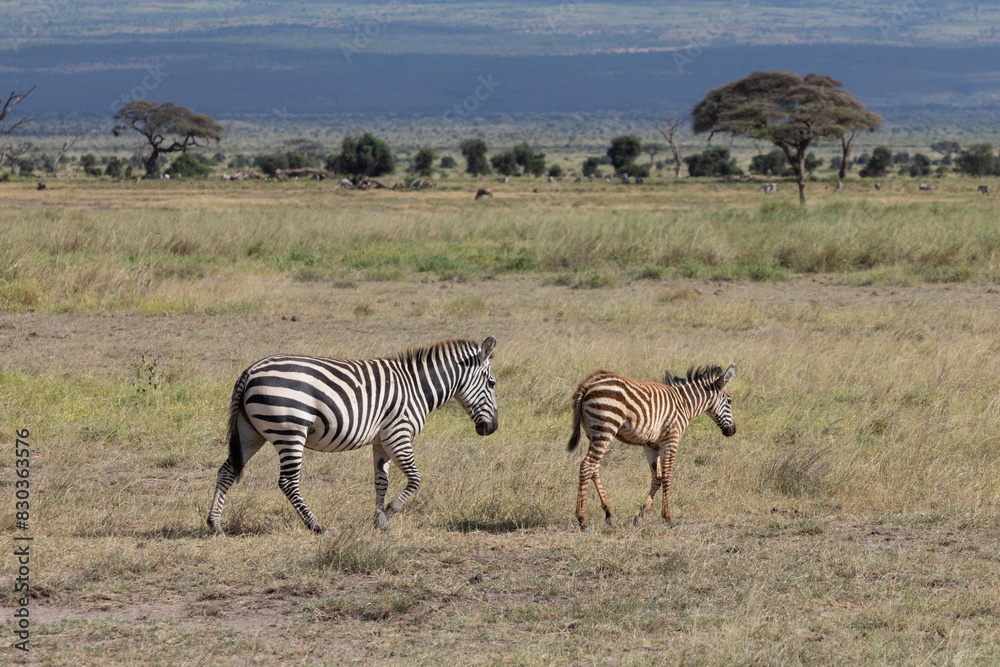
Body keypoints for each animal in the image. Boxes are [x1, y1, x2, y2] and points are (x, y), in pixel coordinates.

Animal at [207, 337, 499, 536]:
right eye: (492, 383)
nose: (493, 428)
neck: (417, 387)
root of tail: (249, 372)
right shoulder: (398, 434)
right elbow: (415, 480)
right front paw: (387, 515)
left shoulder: (381, 441)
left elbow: (381, 482)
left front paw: (377, 520)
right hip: (291, 431)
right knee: (288, 482)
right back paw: (317, 526)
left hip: (250, 433)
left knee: (227, 471)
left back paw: (215, 525)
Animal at [567, 364, 736, 532]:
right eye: (729, 401)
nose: (733, 431)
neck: (684, 404)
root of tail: (588, 384)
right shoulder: (671, 440)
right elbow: (667, 477)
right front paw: (668, 518)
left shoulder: (651, 445)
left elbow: (657, 478)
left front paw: (640, 517)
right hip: (606, 427)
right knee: (586, 466)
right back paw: (583, 521)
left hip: (593, 433)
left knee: (594, 468)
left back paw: (609, 514)